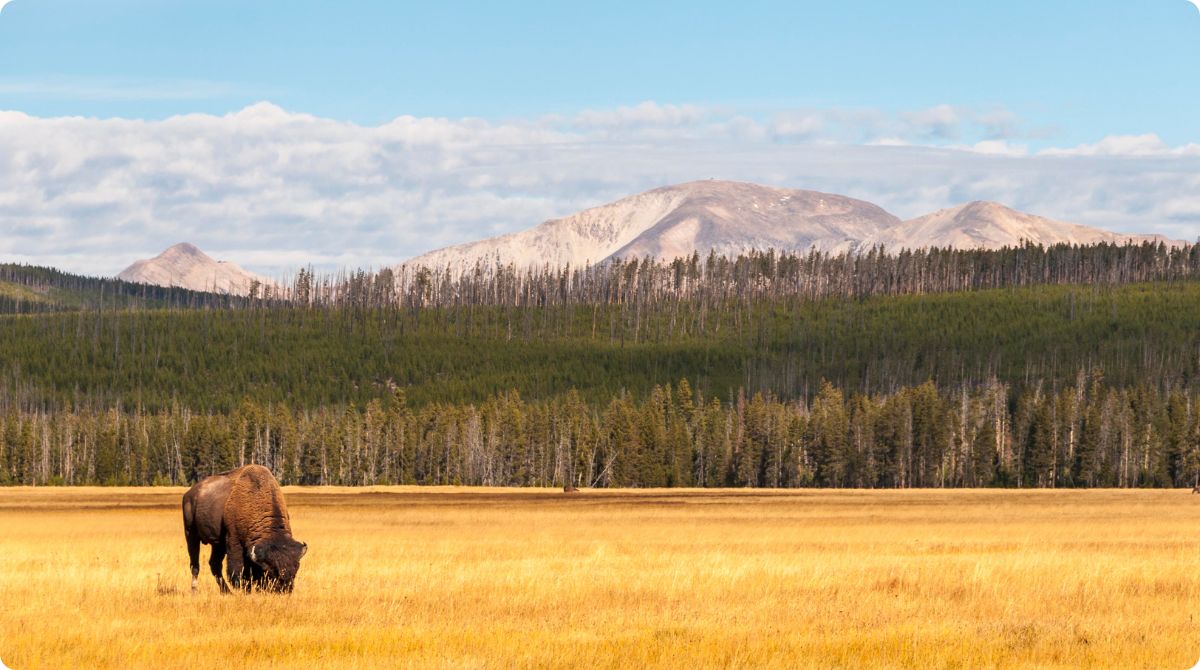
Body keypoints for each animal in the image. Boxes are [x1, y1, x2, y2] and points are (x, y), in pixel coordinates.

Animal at [182, 465, 307, 593]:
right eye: (269, 571)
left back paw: (227, 592)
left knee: (214, 564)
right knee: (195, 565)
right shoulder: (234, 541)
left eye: (296, 568)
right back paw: (195, 590)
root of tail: (189, 494)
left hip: (218, 544)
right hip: (191, 534)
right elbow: (237, 570)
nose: (284, 590)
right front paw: (243, 589)